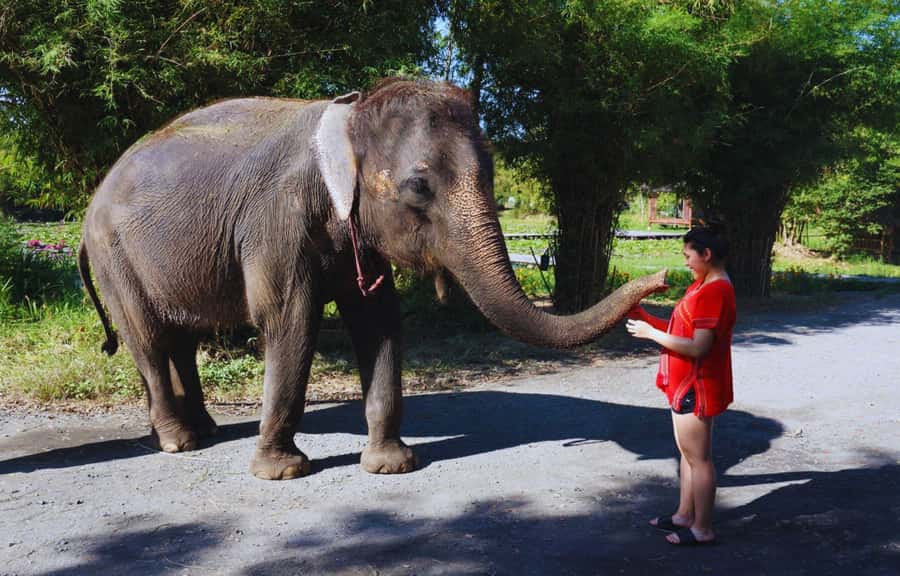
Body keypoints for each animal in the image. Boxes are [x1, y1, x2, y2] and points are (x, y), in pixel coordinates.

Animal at [77, 78, 666, 480]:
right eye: (418, 188)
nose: (662, 278)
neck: (350, 116)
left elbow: (379, 321)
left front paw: (392, 466)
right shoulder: (276, 221)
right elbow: (290, 321)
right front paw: (282, 473)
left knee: (181, 339)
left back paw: (202, 432)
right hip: (114, 257)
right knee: (150, 340)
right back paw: (180, 443)